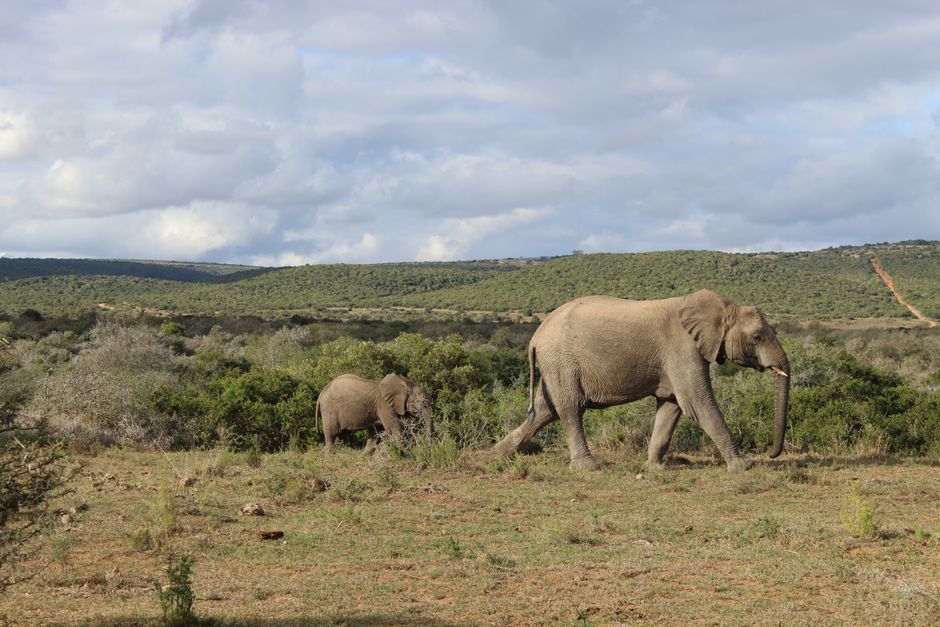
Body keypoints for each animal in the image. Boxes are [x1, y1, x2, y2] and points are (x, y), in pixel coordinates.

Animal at [493, 289, 790, 472]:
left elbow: (671, 407)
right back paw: (588, 467)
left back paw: (498, 454)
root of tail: (535, 336)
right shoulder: (682, 349)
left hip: (554, 363)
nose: (772, 455)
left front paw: (654, 468)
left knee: (544, 410)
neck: (723, 307)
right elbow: (698, 404)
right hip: (561, 359)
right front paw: (743, 467)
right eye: (757, 337)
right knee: (570, 408)